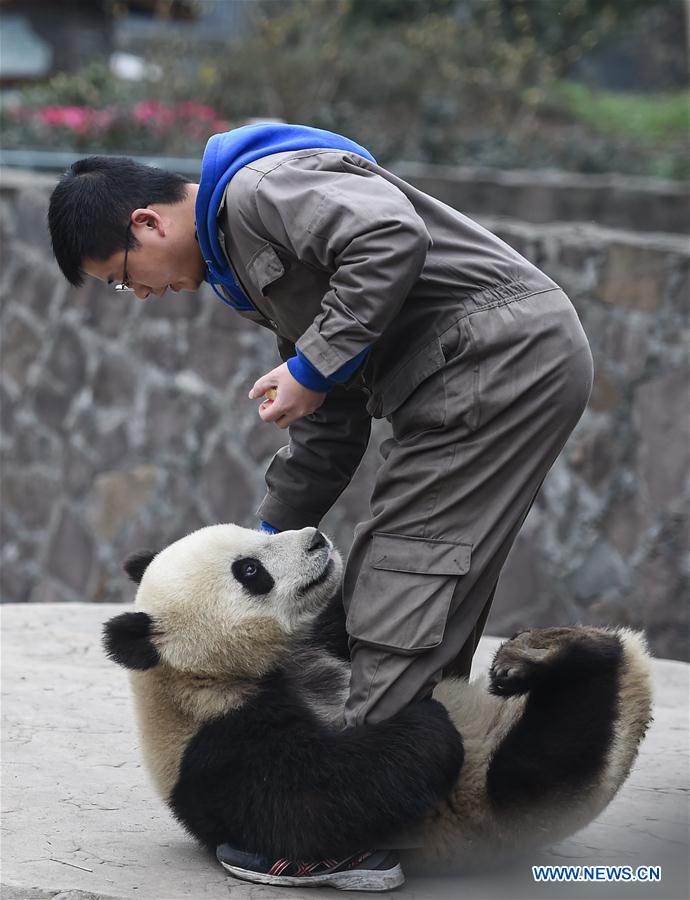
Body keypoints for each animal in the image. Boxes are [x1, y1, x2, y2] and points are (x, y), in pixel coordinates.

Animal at [103, 523, 652, 885]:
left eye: (255, 529)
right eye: (250, 570)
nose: (316, 538)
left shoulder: (321, 644)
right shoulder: (217, 744)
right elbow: (310, 806)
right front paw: (427, 722)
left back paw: (542, 649)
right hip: (502, 805)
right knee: (550, 752)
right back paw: (563, 658)